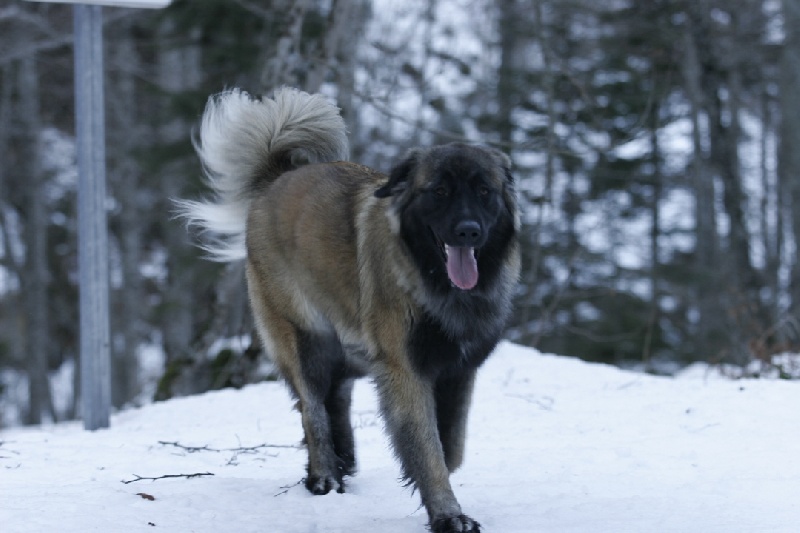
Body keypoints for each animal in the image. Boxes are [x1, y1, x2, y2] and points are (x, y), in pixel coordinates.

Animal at [178, 88, 520, 532]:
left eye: (483, 191)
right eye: (440, 192)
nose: (467, 231)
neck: (435, 282)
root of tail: (277, 178)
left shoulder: (459, 370)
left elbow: (451, 447)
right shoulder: (405, 370)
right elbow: (428, 449)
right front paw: (447, 513)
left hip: (349, 345)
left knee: (335, 398)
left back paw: (344, 461)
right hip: (306, 341)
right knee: (313, 410)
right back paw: (324, 475)